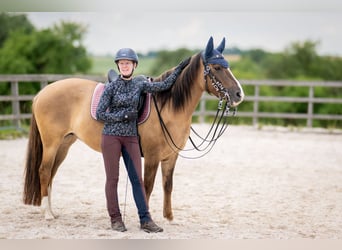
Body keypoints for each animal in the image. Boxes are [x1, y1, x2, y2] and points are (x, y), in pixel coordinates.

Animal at [22, 36, 244, 220]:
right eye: (216, 68)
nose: (238, 94)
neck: (168, 107)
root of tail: (42, 93)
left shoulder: (171, 156)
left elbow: (168, 185)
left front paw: (168, 217)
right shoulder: (152, 156)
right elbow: (148, 186)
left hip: (65, 144)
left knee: (51, 174)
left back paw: (52, 211)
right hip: (52, 143)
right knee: (44, 171)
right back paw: (47, 215)